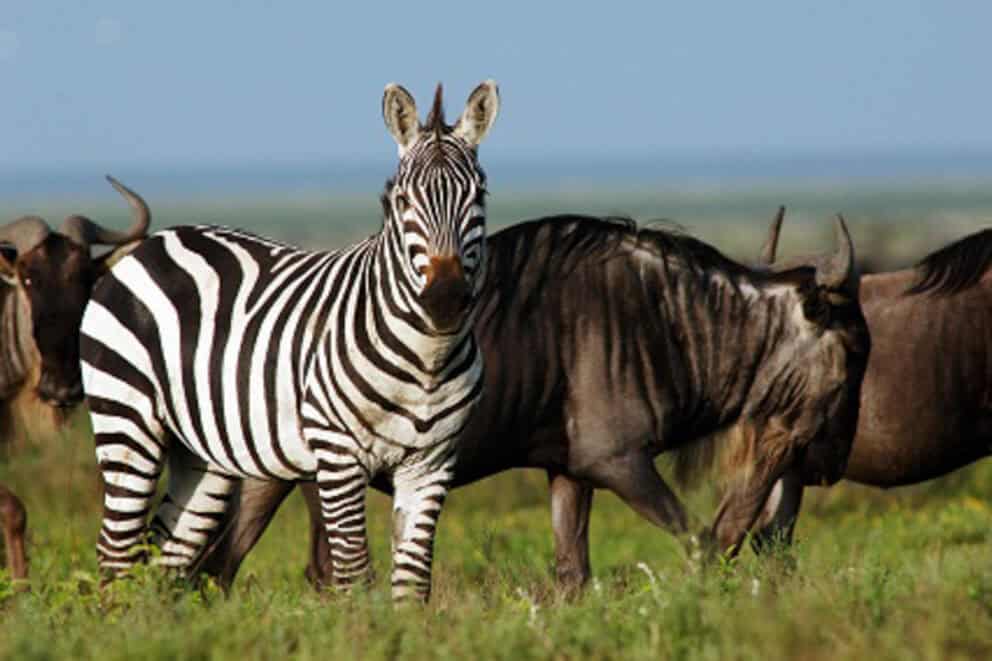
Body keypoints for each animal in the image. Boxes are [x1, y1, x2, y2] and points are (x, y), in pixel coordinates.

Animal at [79, 80, 500, 601]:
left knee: (164, 555)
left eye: (479, 195)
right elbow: (353, 575)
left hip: (201, 454)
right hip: (126, 419)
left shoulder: (432, 464)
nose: (444, 300)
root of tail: (153, 244)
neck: (427, 361)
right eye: (403, 200)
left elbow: (412, 583)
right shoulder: (337, 456)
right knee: (116, 550)